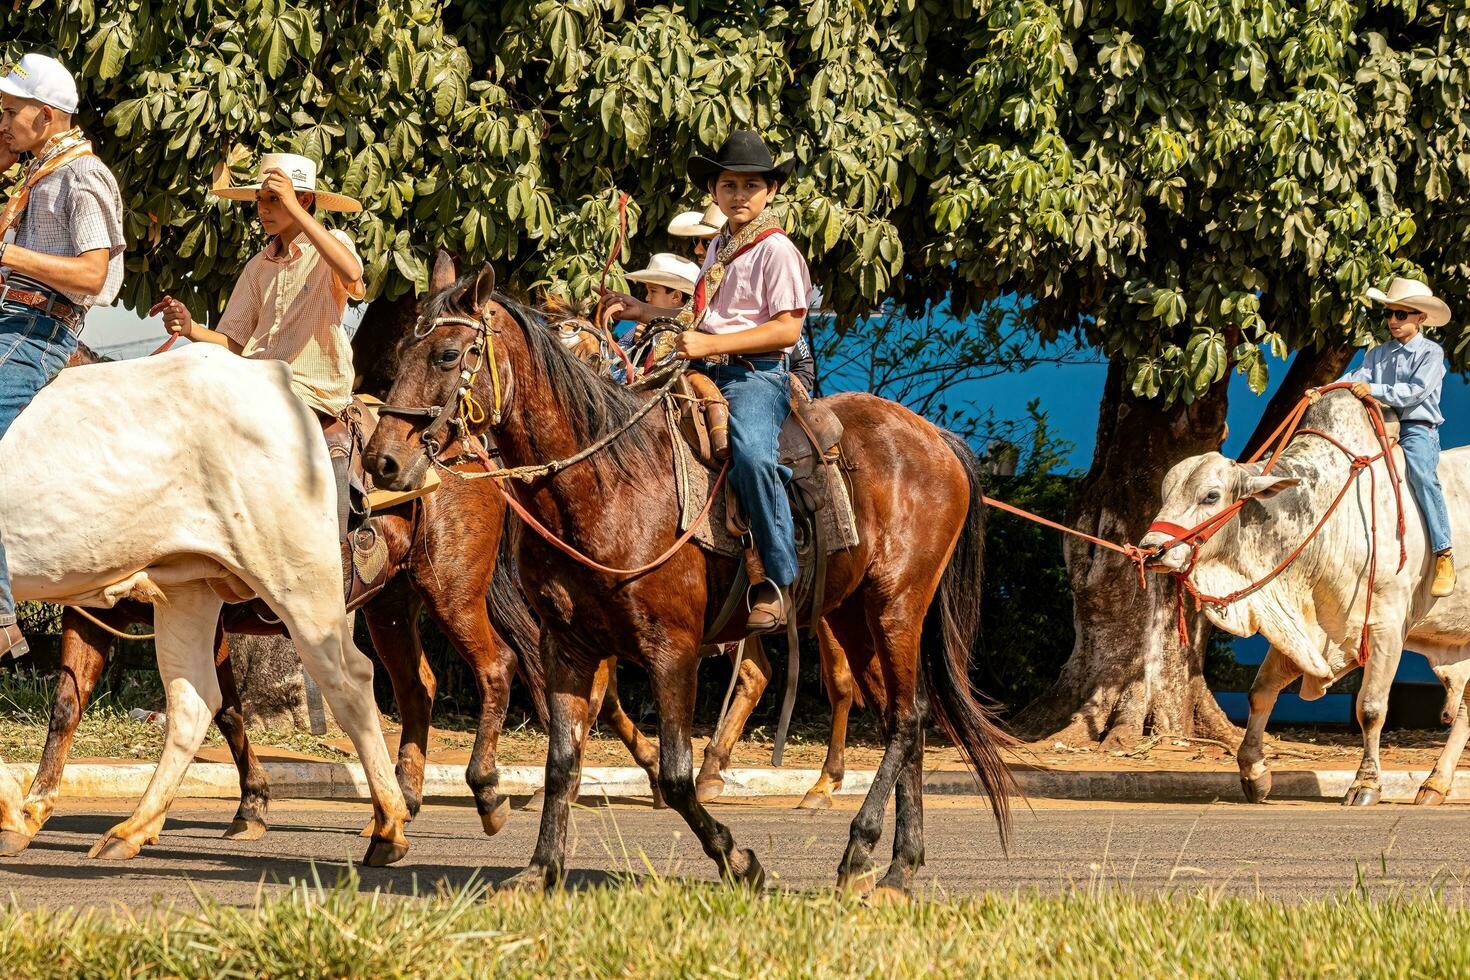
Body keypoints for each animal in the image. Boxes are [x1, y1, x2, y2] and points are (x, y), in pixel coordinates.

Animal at [0, 346, 408, 863]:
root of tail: (276, 381)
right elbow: (68, 706)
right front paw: (22, 814)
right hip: (189, 590)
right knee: (193, 704)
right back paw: (132, 828)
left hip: (297, 578)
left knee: (352, 680)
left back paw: (389, 825)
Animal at [367, 262, 1017, 899]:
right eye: (402, 350)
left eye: (448, 355)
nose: (382, 462)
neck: (608, 482)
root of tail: (936, 439)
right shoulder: (566, 646)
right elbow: (562, 761)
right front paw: (538, 869)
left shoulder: (671, 649)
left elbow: (677, 776)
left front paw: (740, 860)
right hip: (853, 615)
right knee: (903, 717)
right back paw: (898, 866)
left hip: (896, 604)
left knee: (906, 720)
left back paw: (863, 849)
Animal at [1140, 387, 1470, 811]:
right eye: (1166, 492)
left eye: (1211, 495)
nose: (1151, 550)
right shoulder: (1303, 628)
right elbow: (1260, 693)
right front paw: (1255, 773)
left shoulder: (1385, 626)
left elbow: (1371, 708)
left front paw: (1366, 785)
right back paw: (1435, 785)